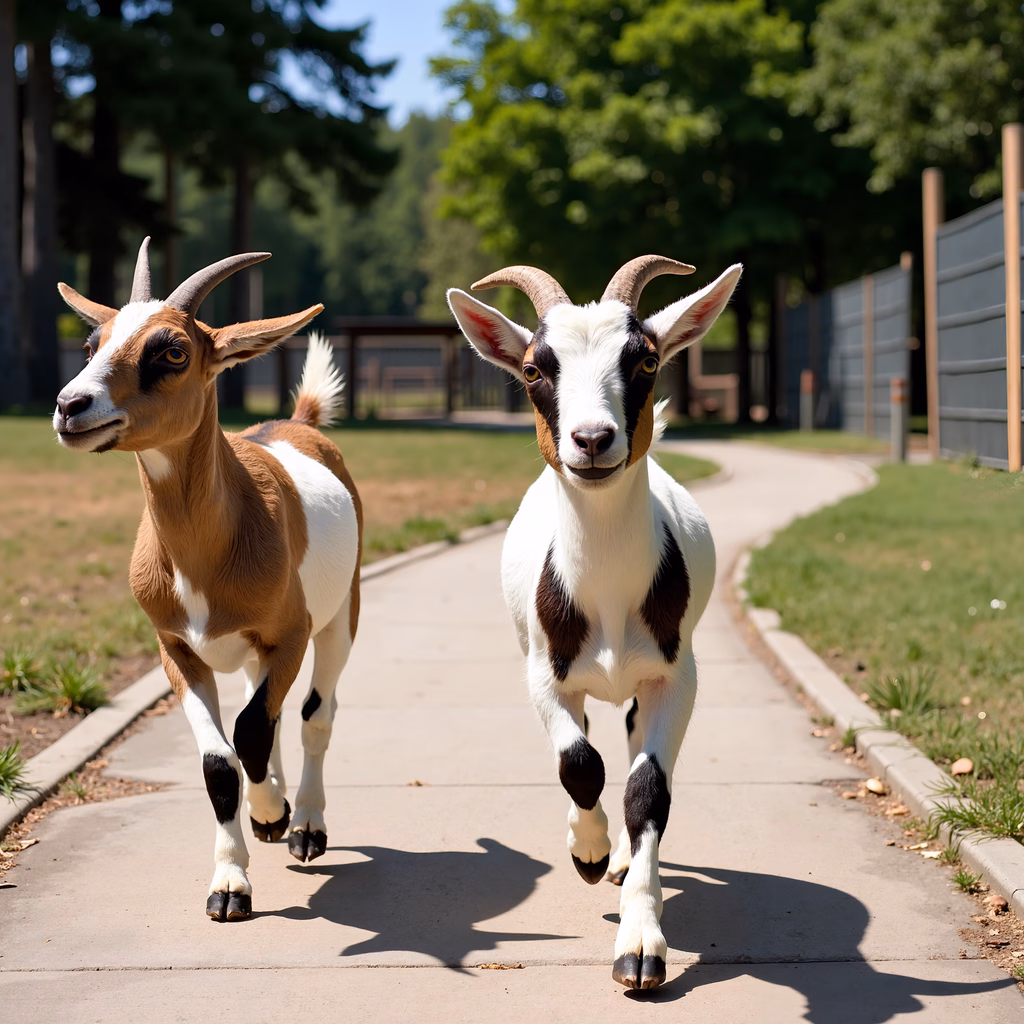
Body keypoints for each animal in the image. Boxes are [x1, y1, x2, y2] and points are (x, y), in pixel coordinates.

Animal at [53, 238, 362, 921]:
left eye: (172, 350)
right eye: (92, 343)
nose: (70, 407)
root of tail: (298, 422)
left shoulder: (288, 636)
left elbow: (252, 731)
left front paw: (271, 818)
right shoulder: (176, 650)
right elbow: (221, 759)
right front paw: (230, 883)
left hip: (338, 623)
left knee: (315, 714)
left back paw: (304, 826)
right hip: (248, 653)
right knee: (270, 716)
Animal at [448, 255, 741, 989]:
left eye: (646, 359)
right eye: (533, 368)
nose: (591, 440)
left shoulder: (676, 678)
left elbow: (646, 789)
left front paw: (640, 946)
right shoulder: (543, 674)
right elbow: (579, 763)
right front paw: (587, 850)